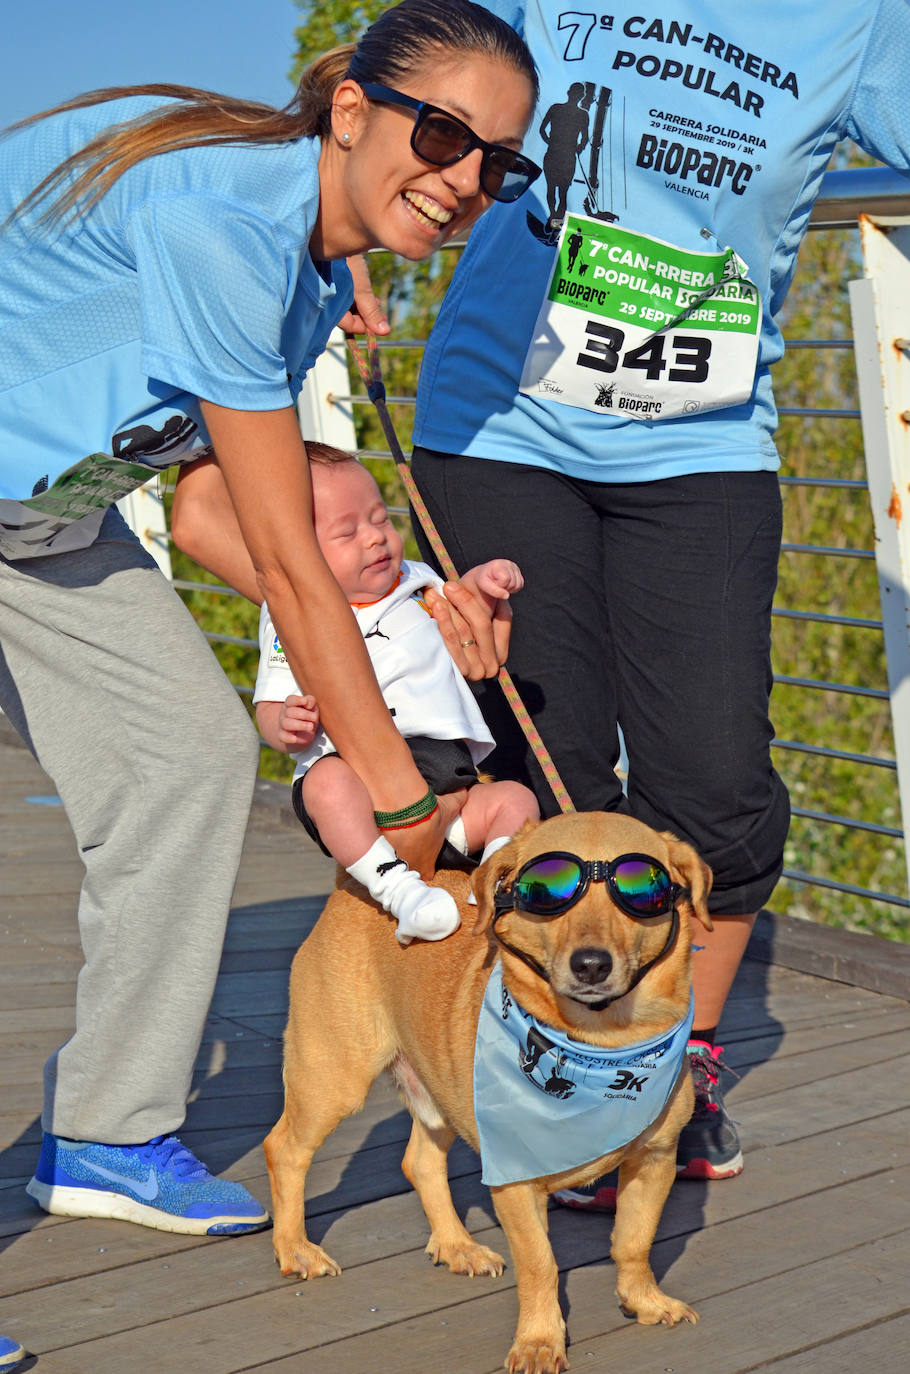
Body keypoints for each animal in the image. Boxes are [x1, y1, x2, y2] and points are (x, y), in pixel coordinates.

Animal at [268, 813, 714, 1374]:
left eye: (642, 892)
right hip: (333, 1079)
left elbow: (635, 1242)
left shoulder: (654, 1161)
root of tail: (350, 888)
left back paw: (458, 1246)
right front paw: (540, 1341)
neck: (602, 1044)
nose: (591, 964)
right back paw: (295, 1249)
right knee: (284, 1150)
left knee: (419, 1162)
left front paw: (645, 1301)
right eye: (545, 893)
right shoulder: (516, 1182)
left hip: (439, 1091)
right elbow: (542, 1264)